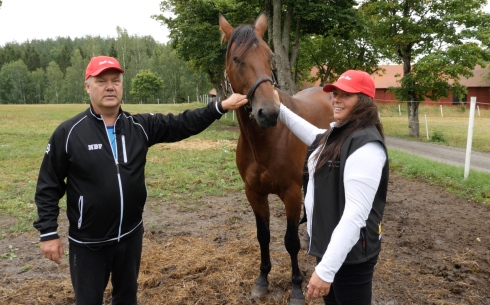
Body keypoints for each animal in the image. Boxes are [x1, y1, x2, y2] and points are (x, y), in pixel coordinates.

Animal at [220, 13, 334, 302]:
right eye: (236, 58)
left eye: (270, 56)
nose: (268, 112)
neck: (266, 142)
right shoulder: (254, 193)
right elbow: (263, 236)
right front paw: (262, 280)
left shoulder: (291, 193)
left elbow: (290, 242)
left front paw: (296, 288)